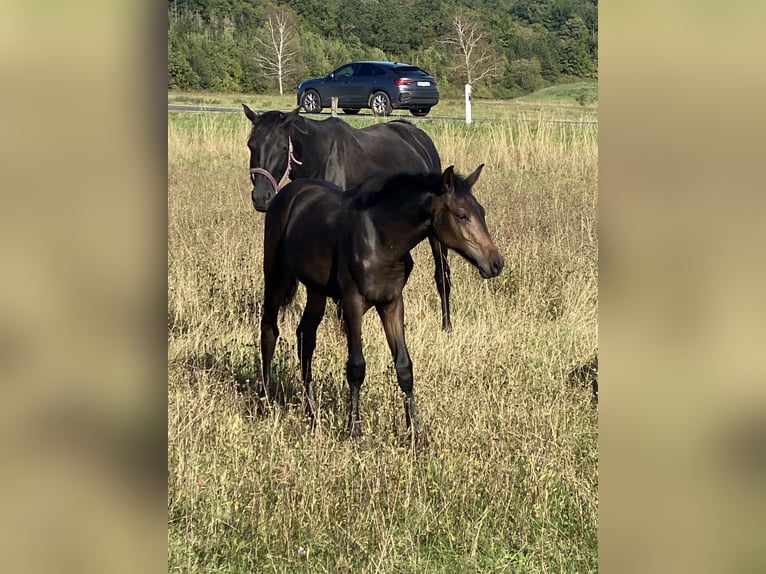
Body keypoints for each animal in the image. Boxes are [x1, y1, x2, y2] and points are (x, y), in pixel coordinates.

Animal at [243, 104, 458, 331]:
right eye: (251, 145)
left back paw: (446, 325)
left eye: (284, 147)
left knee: (442, 274)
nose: (261, 197)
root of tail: (418, 136)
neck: (320, 157)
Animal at [259, 164, 504, 437]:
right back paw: (265, 404)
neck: (382, 239)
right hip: (277, 276)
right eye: (461, 215)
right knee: (269, 329)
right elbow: (356, 366)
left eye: (482, 211)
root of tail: (284, 194)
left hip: (316, 290)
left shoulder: (392, 302)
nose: (496, 263)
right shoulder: (352, 302)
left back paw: (312, 414)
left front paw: (414, 433)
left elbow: (404, 367)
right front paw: (354, 430)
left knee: (305, 336)